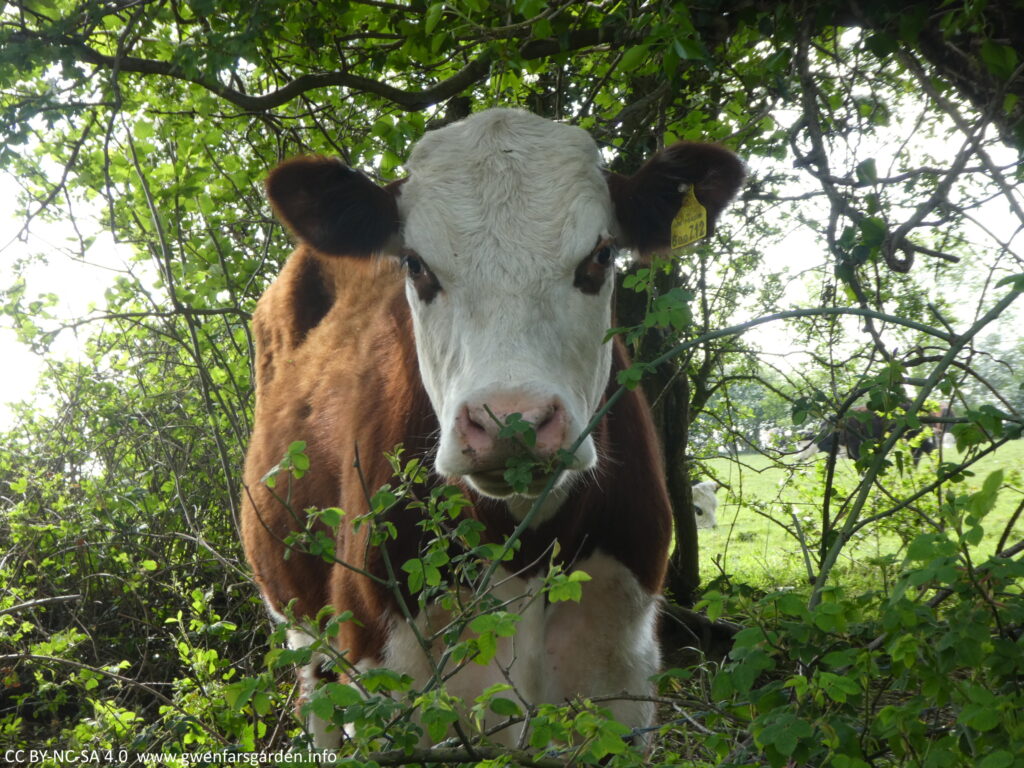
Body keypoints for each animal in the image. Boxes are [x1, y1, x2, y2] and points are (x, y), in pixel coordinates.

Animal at [239, 109, 741, 753]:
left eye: (600, 256)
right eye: (415, 264)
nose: (511, 422)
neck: (524, 544)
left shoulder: (619, 679)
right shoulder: (389, 683)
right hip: (305, 633)